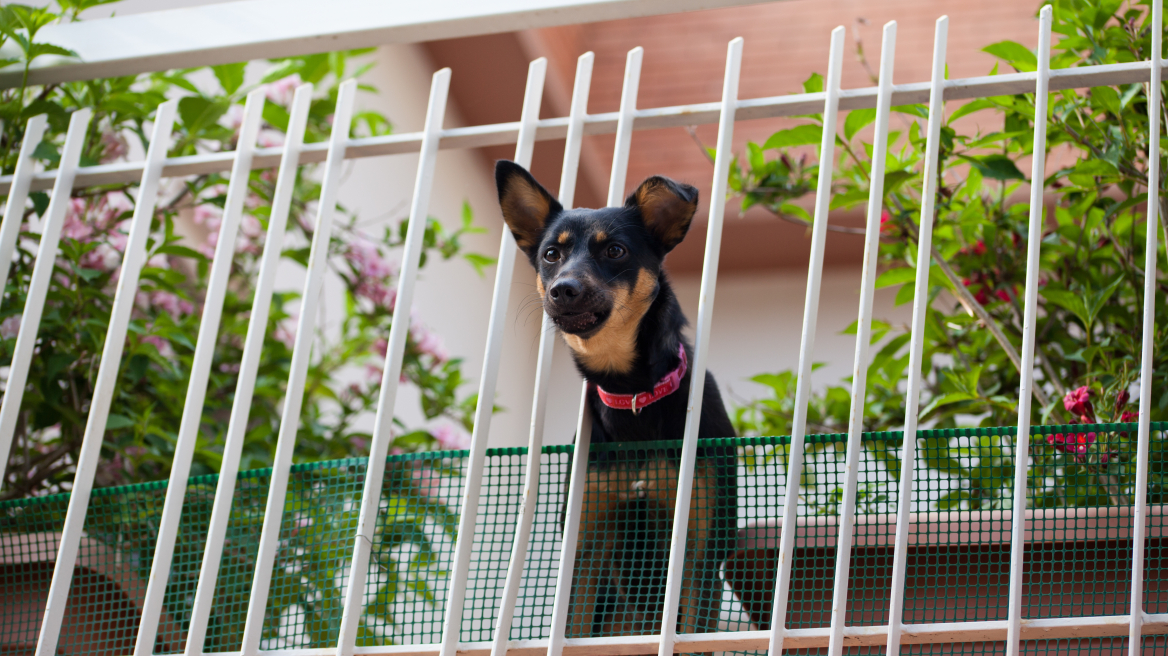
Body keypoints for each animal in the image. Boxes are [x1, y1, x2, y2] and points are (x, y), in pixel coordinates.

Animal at [495, 161, 738, 634]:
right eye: (551, 255)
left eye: (615, 251)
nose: (562, 289)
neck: (632, 395)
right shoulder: (585, 550)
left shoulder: (699, 549)